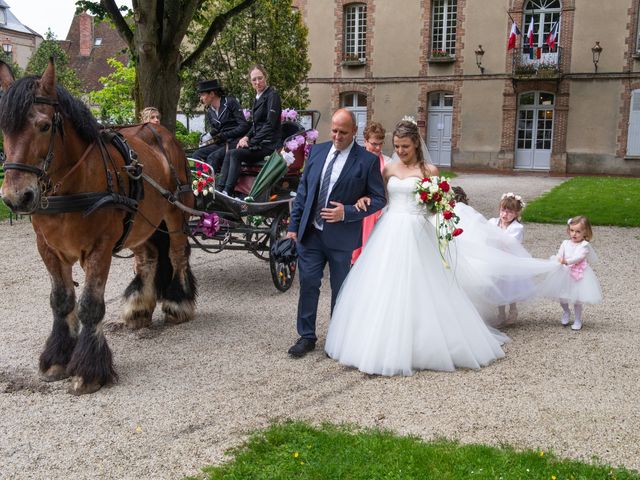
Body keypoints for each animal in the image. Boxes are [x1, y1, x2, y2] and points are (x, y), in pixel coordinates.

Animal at [0, 60, 198, 396]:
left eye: (44, 126)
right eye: (4, 128)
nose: (16, 197)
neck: (71, 184)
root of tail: (158, 130)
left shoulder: (100, 247)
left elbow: (90, 305)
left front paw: (88, 370)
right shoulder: (47, 248)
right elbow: (61, 300)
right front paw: (57, 358)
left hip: (175, 211)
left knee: (178, 253)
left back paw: (178, 302)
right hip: (141, 221)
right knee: (148, 257)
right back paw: (139, 305)